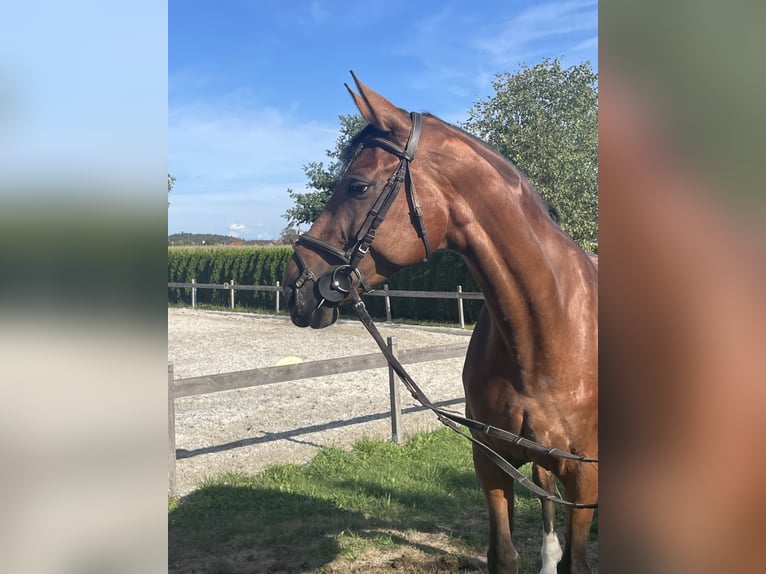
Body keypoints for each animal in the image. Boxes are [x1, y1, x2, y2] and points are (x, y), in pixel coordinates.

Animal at [282, 72, 598, 574]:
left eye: (357, 186)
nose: (295, 284)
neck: (546, 333)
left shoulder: (586, 477)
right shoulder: (491, 463)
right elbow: (503, 555)